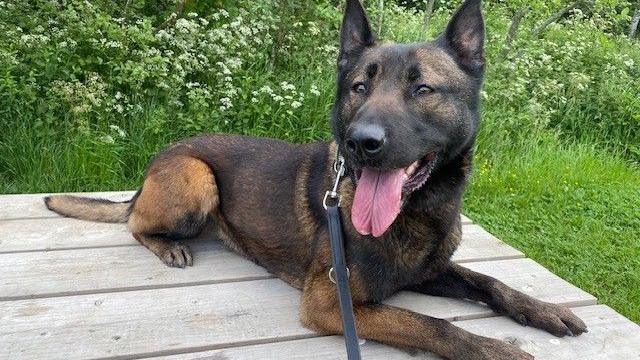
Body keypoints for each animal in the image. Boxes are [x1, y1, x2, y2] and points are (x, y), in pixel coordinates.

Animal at [42, 1, 588, 358]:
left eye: (423, 90)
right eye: (359, 87)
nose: (361, 142)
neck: (419, 212)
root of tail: (161, 160)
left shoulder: (428, 271)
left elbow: (491, 281)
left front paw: (543, 310)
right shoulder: (330, 304)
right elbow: (430, 325)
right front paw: (498, 349)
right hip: (197, 178)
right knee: (136, 223)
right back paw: (167, 244)